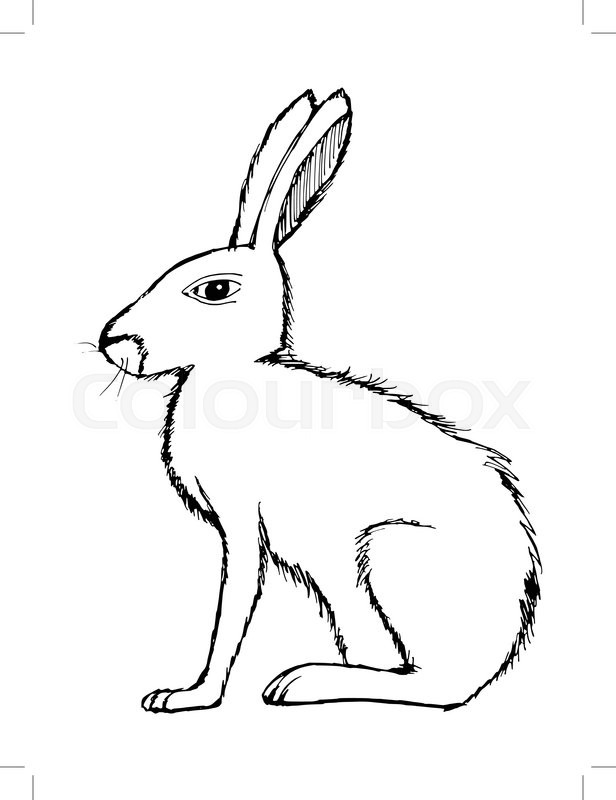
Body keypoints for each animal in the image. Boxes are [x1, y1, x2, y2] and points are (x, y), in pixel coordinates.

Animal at [98, 88, 540, 712]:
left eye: (215, 290)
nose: (113, 342)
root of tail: (500, 646)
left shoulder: (242, 523)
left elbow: (232, 607)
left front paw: (189, 696)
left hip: (387, 555)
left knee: (432, 684)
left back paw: (300, 682)